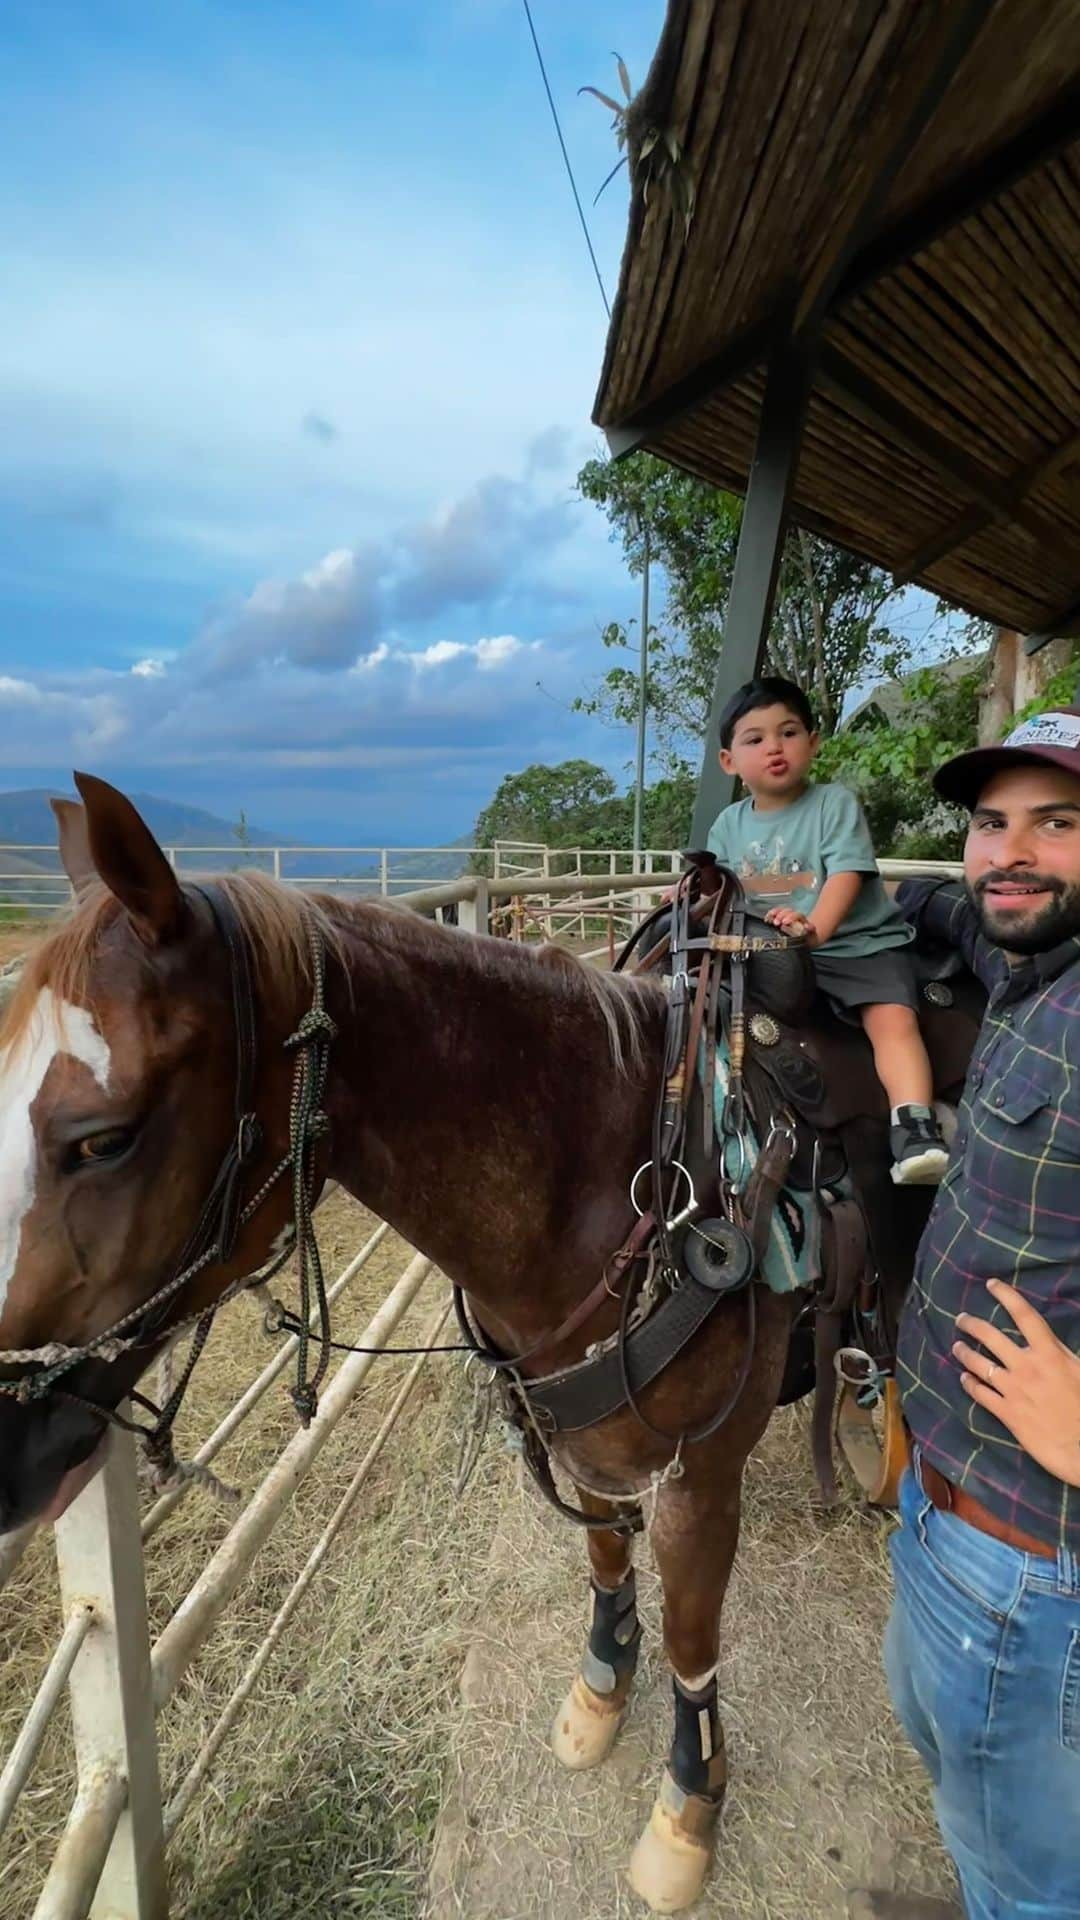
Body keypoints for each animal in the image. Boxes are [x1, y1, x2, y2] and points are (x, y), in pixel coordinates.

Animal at [0, 775, 791, 1904]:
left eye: (100, 1138)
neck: (626, 1159)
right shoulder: (582, 1434)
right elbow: (604, 1557)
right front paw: (601, 1689)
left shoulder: (698, 1476)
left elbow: (691, 1636)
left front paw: (688, 1810)